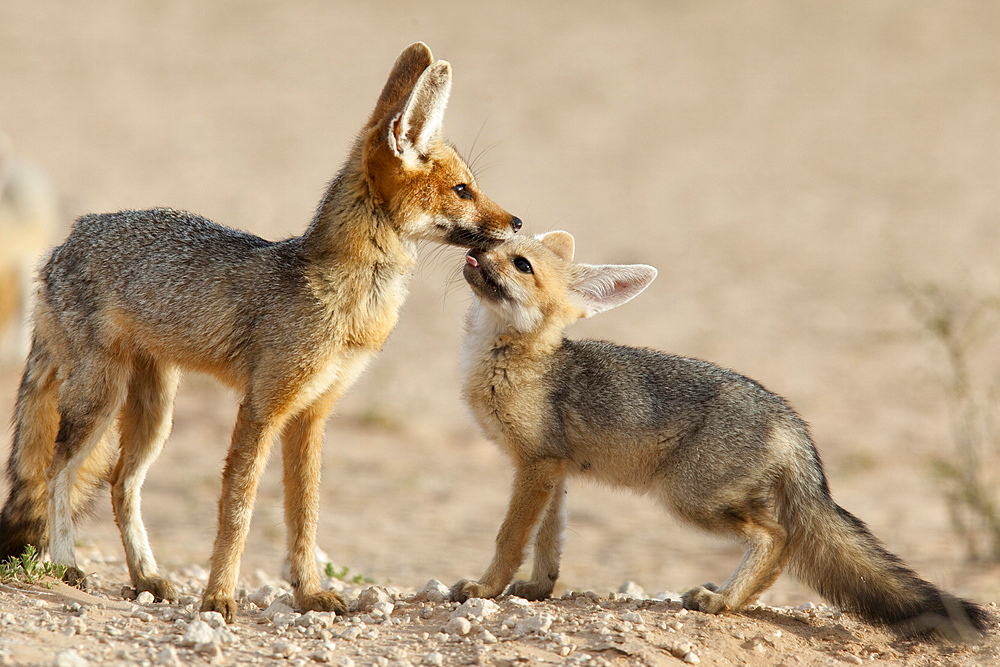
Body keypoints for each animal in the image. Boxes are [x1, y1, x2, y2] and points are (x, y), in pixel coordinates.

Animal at [0, 44, 516, 624]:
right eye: (462, 190)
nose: (517, 222)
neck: (347, 299)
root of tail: (68, 237)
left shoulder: (312, 416)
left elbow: (304, 515)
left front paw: (309, 592)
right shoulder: (263, 408)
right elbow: (239, 511)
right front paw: (219, 597)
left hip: (156, 414)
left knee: (119, 484)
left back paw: (146, 576)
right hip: (100, 400)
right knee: (58, 471)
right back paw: (66, 564)